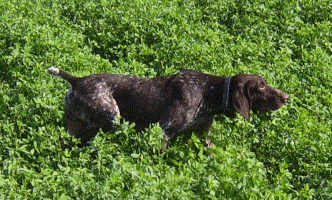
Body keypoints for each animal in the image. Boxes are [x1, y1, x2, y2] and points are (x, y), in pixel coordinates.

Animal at [47, 67, 288, 150]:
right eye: (261, 86)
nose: (286, 97)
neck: (209, 92)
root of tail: (77, 80)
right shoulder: (165, 131)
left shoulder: (203, 134)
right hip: (109, 118)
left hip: (77, 125)